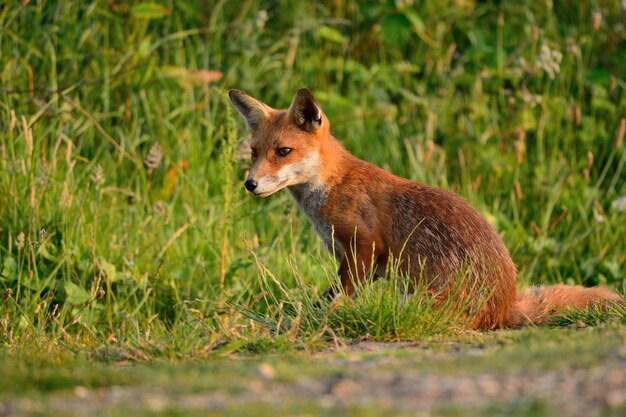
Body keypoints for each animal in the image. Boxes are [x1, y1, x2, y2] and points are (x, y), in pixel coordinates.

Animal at [228, 88, 620, 328]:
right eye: (254, 152)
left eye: (283, 152)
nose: (250, 184)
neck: (334, 185)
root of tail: (506, 304)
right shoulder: (363, 261)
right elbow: (327, 297)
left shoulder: (364, 247)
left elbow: (336, 297)